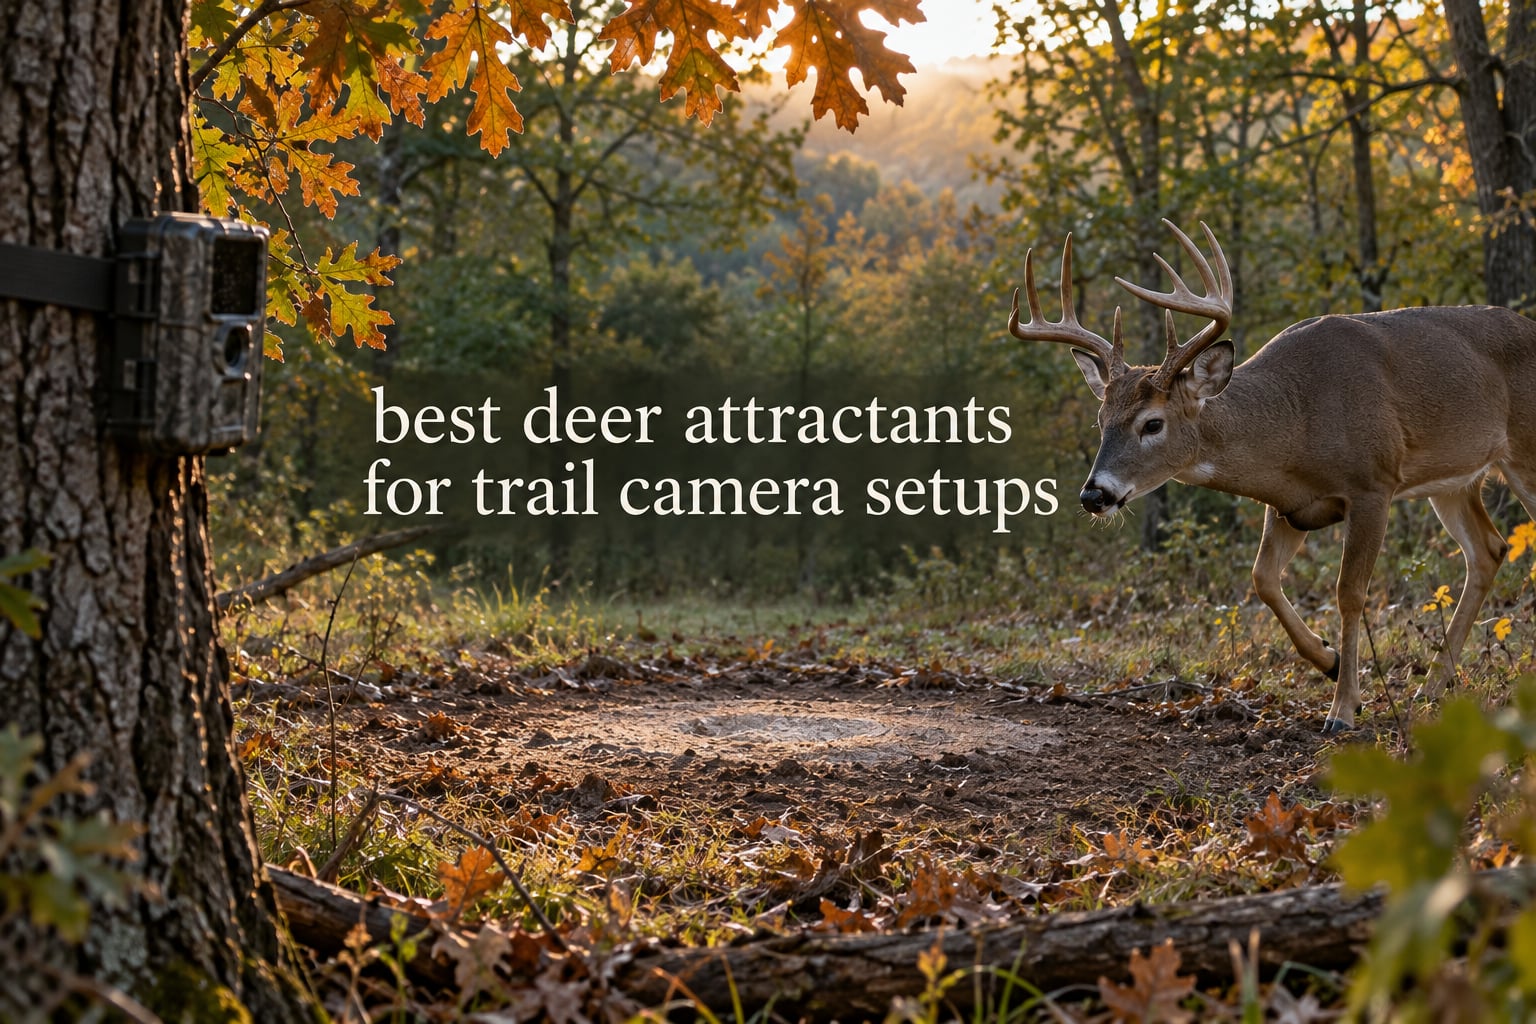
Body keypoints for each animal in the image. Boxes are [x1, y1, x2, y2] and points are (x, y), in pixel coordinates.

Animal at [1009, 220, 1536, 734]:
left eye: (1152, 423)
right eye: (1101, 421)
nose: (1094, 494)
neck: (1296, 423)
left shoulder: (1373, 483)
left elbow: (1348, 593)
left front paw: (1342, 709)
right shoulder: (1290, 505)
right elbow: (1262, 578)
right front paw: (1327, 660)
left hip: (1522, 454)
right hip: (1454, 481)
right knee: (1488, 551)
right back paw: (1432, 687)